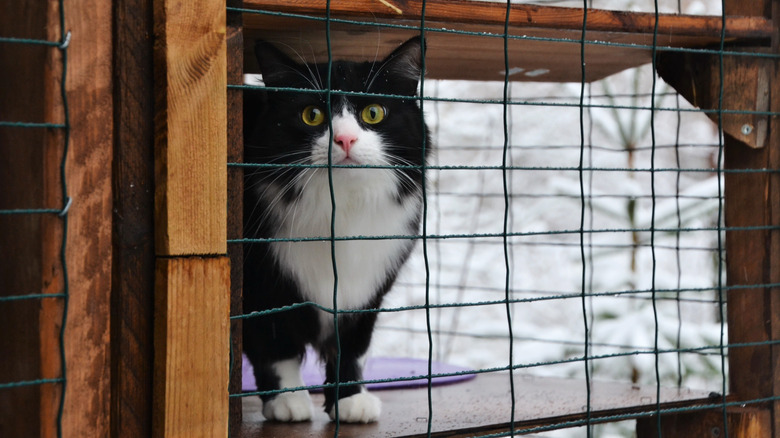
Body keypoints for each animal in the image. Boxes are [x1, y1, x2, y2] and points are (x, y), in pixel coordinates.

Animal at [242, 38, 430, 424]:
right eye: (312, 115)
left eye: (373, 113)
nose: (344, 140)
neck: (341, 213)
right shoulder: (261, 283)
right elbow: (274, 343)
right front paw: (287, 400)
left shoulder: (368, 290)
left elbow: (352, 347)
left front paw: (350, 399)